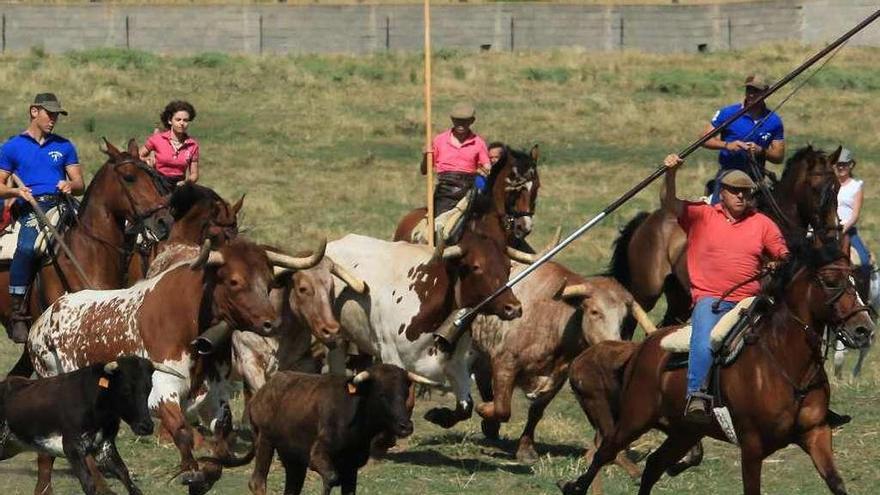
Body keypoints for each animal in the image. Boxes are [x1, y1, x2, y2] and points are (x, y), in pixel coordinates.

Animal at [27, 238, 324, 494]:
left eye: (270, 282)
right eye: (234, 281)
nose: (271, 323)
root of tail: (43, 320)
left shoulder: (214, 395)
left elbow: (221, 436)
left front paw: (206, 473)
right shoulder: (161, 392)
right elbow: (183, 433)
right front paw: (192, 472)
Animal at [474, 266, 652, 464]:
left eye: (623, 318)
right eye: (595, 312)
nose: (614, 345)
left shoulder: (558, 378)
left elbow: (536, 411)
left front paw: (526, 449)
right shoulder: (505, 362)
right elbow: (502, 408)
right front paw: (483, 409)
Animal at [560, 238, 876, 494]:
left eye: (856, 280)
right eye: (830, 281)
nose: (864, 330)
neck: (785, 364)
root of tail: (642, 349)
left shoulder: (816, 434)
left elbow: (836, 483)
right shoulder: (752, 446)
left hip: (684, 431)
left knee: (653, 465)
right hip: (633, 420)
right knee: (605, 453)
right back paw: (573, 487)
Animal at [608, 145, 844, 328]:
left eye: (838, 186)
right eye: (815, 188)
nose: (831, 233)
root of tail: (648, 219)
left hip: (679, 297)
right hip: (645, 293)